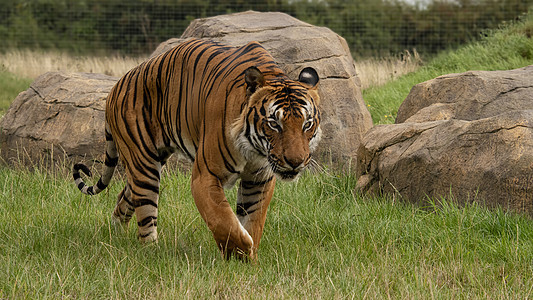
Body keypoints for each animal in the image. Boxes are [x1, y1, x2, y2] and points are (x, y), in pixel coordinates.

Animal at [71, 37, 320, 258]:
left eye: (307, 124)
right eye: (274, 124)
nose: (295, 162)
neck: (254, 149)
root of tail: (115, 86)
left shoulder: (259, 180)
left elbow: (253, 222)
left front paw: (249, 260)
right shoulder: (205, 175)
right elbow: (223, 220)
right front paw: (240, 252)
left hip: (144, 166)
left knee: (125, 197)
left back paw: (115, 234)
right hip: (143, 166)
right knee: (146, 214)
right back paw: (152, 252)